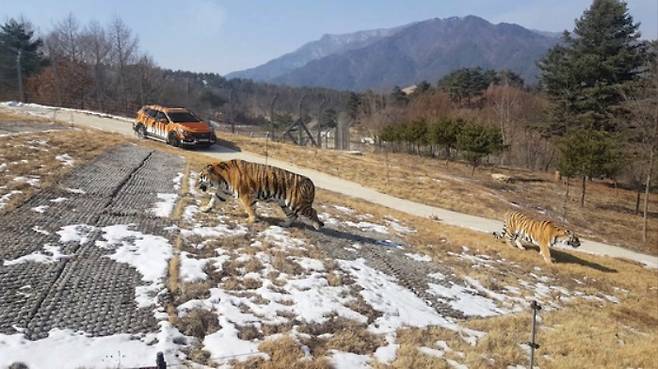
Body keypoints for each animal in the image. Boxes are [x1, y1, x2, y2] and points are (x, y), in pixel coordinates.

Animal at [197, 159, 326, 230]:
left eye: (201, 177)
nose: (196, 185)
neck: (221, 179)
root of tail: (310, 181)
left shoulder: (246, 194)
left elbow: (250, 208)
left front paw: (251, 220)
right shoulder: (223, 192)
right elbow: (213, 200)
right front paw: (205, 209)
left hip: (297, 203)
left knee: (312, 212)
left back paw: (318, 226)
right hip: (285, 204)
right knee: (293, 216)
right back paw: (284, 224)